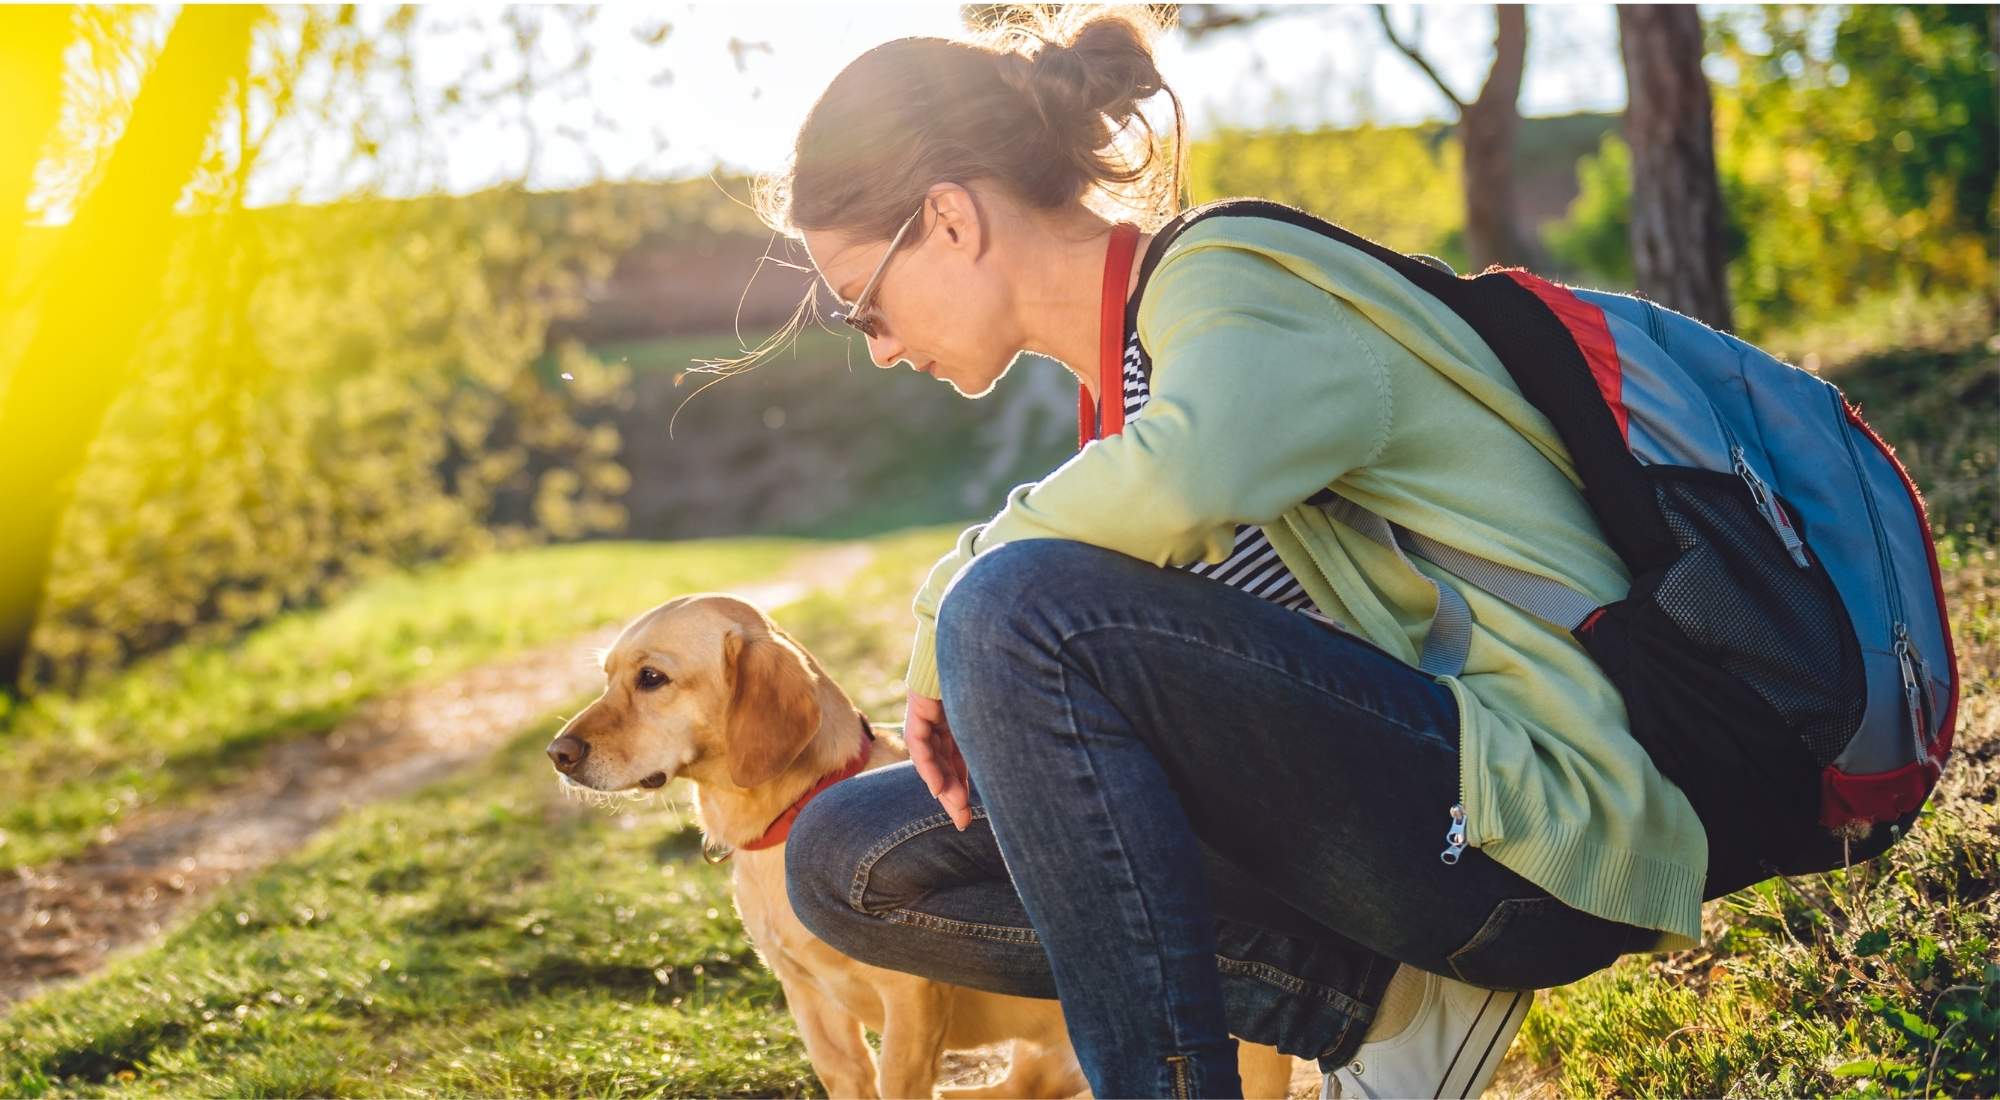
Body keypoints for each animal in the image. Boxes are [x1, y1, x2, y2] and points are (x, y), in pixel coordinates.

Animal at [548, 600, 1296, 1096]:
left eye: (652, 679)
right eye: (608, 675)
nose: (557, 753)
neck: (790, 818)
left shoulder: (909, 1003)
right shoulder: (811, 1006)